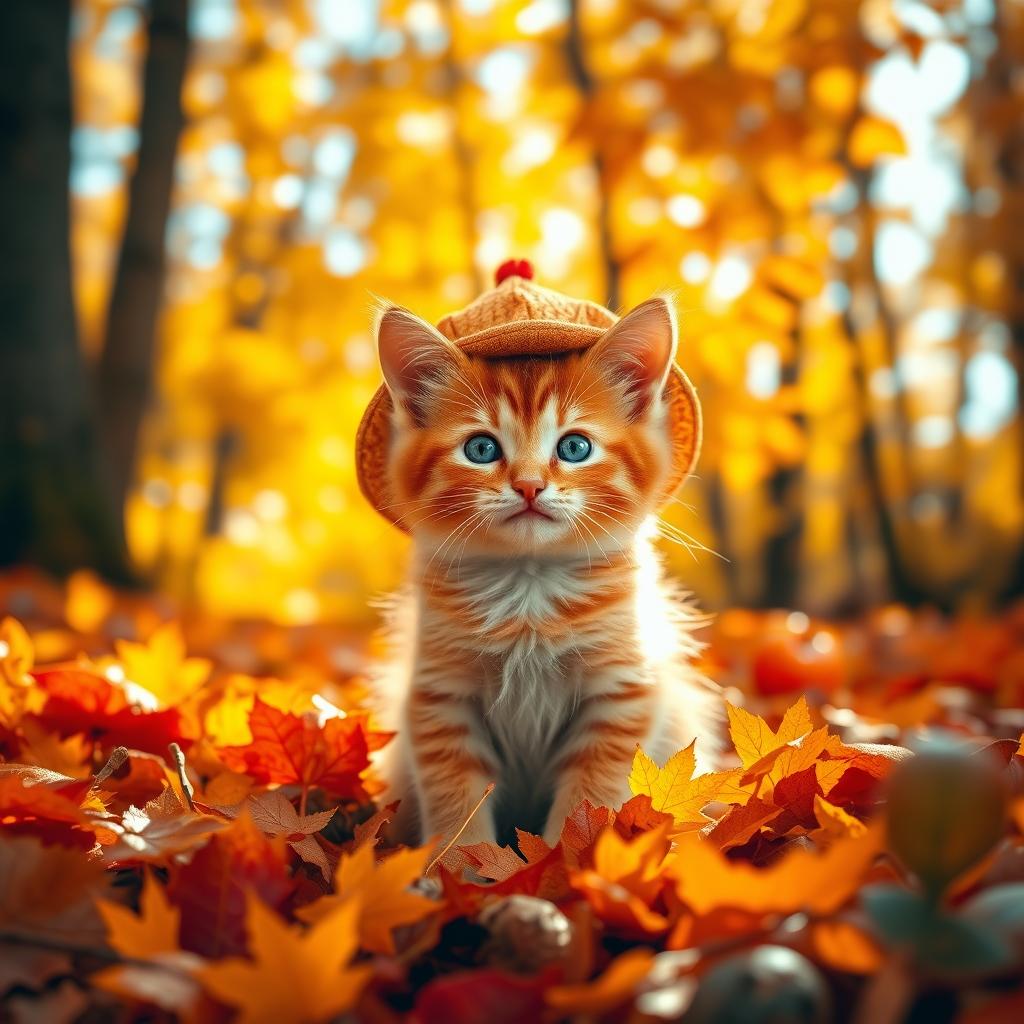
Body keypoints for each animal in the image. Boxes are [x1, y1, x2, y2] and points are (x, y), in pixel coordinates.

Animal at [370, 296, 720, 847]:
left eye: (575, 447)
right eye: (481, 449)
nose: (530, 486)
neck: (528, 592)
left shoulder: (622, 694)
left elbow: (590, 796)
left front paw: (563, 858)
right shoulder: (440, 696)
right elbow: (456, 797)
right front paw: (460, 860)